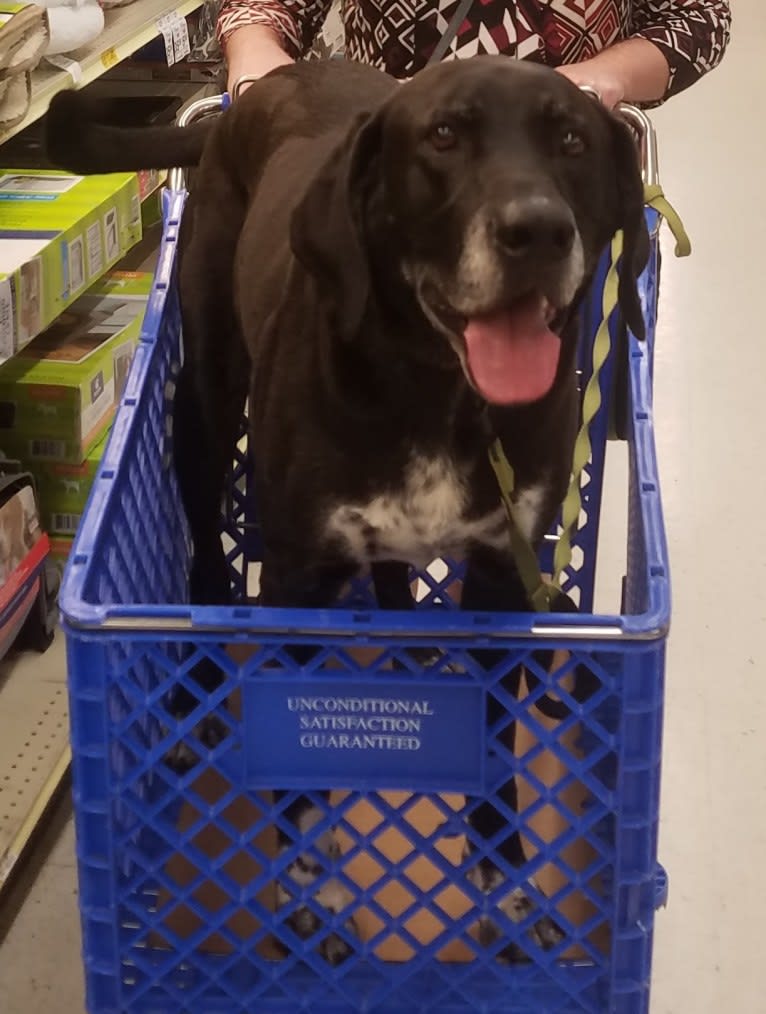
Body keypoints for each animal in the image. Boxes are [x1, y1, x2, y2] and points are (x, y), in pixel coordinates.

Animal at [46, 57, 645, 965]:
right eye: (444, 136)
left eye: (573, 139)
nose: (538, 232)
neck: (438, 390)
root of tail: (256, 91)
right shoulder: (297, 580)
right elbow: (301, 763)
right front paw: (315, 892)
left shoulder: (504, 578)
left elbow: (494, 745)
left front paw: (505, 888)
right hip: (205, 399)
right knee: (204, 559)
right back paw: (197, 690)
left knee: (392, 573)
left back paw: (411, 639)